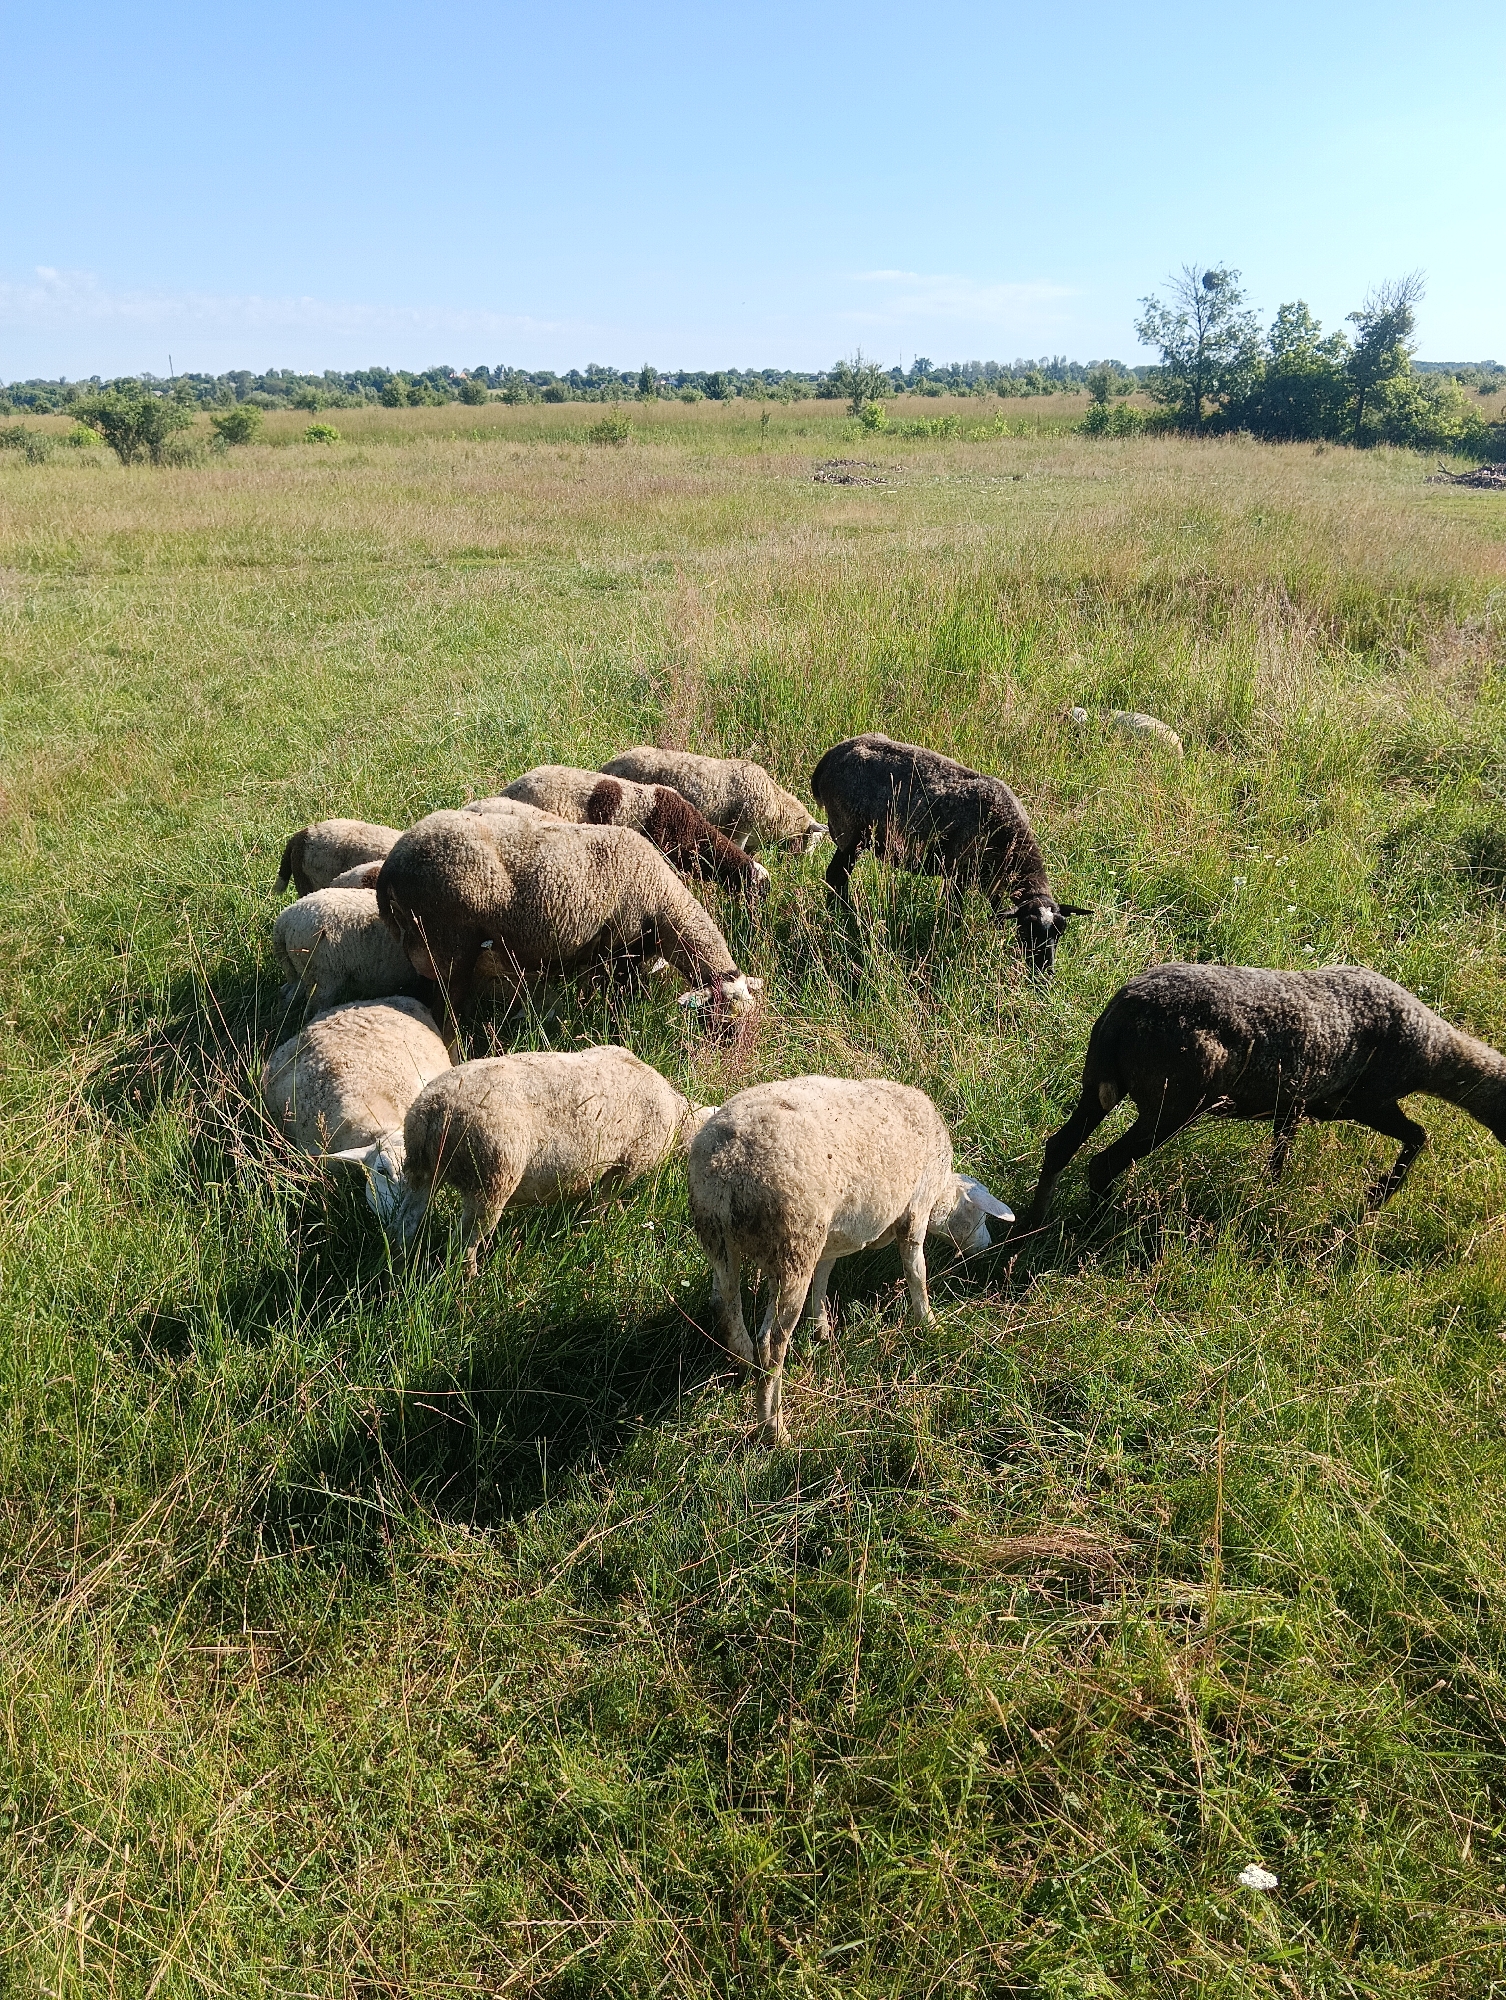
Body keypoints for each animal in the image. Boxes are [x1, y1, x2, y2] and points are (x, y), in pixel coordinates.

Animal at [329, 1046, 711, 1275]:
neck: (678, 1115)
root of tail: (432, 1111)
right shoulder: (628, 1164)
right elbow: (603, 1200)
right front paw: (596, 1224)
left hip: (423, 1171)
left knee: (404, 1224)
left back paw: (398, 1265)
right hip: (492, 1175)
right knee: (464, 1243)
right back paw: (468, 1282)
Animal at [687, 1076, 1012, 1443]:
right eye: (980, 1217)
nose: (987, 1247)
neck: (940, 1195)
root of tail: (727, 1164)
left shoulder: (831, 1237)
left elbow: (824, 1276)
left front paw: (821, 1327)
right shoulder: (915, 1210)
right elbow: (916, 1271)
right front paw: (928, 1322)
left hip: (720, 1236)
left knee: (724, 1304)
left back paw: (744, 1363)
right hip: (793, 1242)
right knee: (771, 1345)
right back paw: (774, 1430)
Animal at [810, 733, 1090, 977]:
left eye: (1060, 932)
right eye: (1027, 929)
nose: (1045, 975)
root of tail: (830, 757)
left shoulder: (993, 880)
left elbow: (997, 914)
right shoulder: (959, 873)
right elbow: (954, 913)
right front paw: (949, 940)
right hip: (850, 833)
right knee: (836, 876)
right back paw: (842, 916)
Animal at [1020, 962, 1506, 1225]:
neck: (1430, 1048)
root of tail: (1120, 1012)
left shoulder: (1292, 1104)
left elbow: (1279, 1156)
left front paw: (1267, 1197)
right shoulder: (1362, 1101)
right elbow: (1419, 1136)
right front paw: (1378, 1196)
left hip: (1097, 1085)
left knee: (1059, 1146)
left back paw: (1034, 1222)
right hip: (1171, 1104)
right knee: (1101, 1164)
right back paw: (1098, 1226)